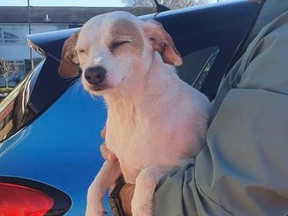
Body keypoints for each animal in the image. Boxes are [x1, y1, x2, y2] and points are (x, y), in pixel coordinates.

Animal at [59, 11, 212, 216]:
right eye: (82, 51)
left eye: (120, 43)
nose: (92, 74)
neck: (129, 111)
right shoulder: (114, 160)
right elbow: (94, 185)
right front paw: (93, 210)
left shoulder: (183, 163)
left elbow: (145, 176)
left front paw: (140, 206)